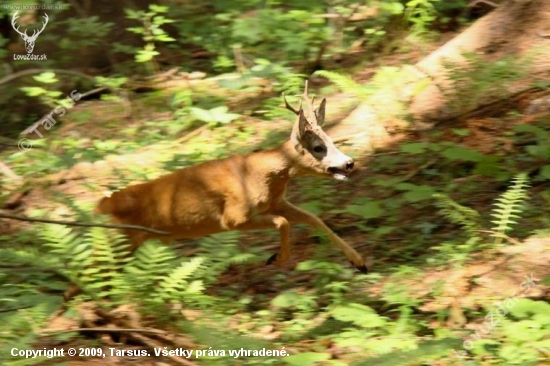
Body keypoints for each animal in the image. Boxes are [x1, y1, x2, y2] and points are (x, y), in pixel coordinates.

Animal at [96, 82, 368, 272]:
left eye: (332, 140)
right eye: (318, 148)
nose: (349, 163)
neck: (262, 176)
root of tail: (102, 205)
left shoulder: (277, 202)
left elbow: (314, 218)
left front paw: (359, 262)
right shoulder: (233, 217)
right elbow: (283, 222)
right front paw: (276, 258)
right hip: (121, 238)